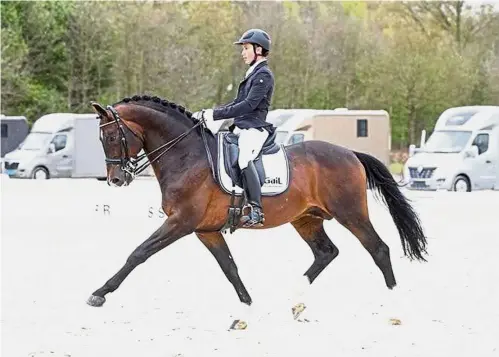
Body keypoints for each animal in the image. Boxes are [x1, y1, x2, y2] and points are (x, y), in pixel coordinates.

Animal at [87, 94, 430, 328]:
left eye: (113, 136)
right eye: (101, 138)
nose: (116, 179)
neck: (188, 157)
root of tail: (350, 153)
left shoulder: (180, 222)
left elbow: (139, 253)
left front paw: (100, 293)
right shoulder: (205, 230)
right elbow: (230, 268)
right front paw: (245, 311)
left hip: (351, 214)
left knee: (378, 249)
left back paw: (395, 309)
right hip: (306, 219)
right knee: (326, 253)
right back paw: (295, 302)